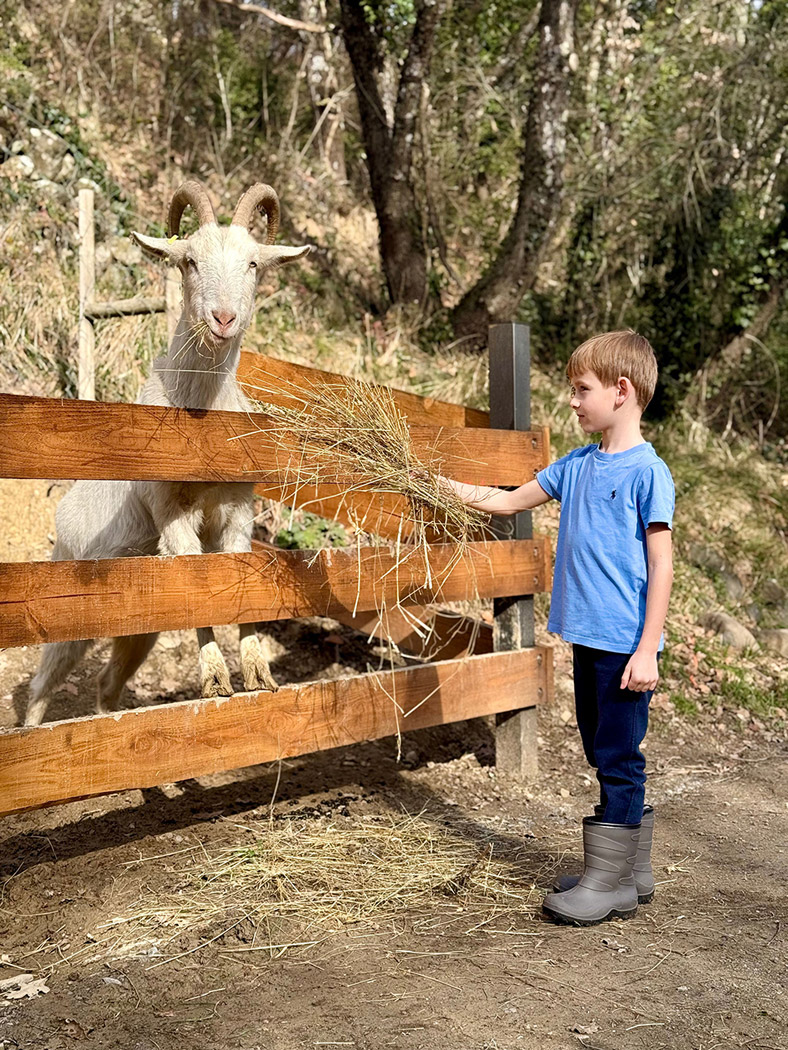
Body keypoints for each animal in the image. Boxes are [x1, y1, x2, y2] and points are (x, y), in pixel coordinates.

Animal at [26, 180, 310, 726]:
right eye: (190, 261)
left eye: (253, 264)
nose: (224, 318)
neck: (202, 417)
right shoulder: (171, 512)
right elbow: (199, 587)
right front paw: (216, 679)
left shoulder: (238, 512)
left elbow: (239, 582)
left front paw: (257, 673)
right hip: (71, 593)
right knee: (40, 682)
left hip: (140, 624)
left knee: (107, 682)